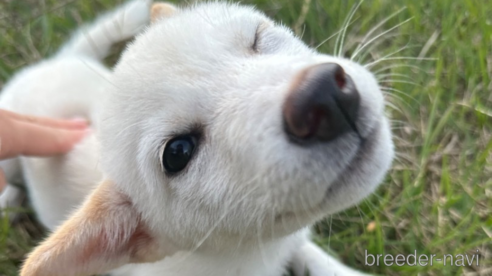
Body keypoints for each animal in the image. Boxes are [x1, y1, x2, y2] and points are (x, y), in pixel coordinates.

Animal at [0, 1, 392, 274]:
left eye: (256, 38)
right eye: (178, 152)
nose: (324, 95)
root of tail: (52, 63)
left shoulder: (290, 241)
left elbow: (311, 253)